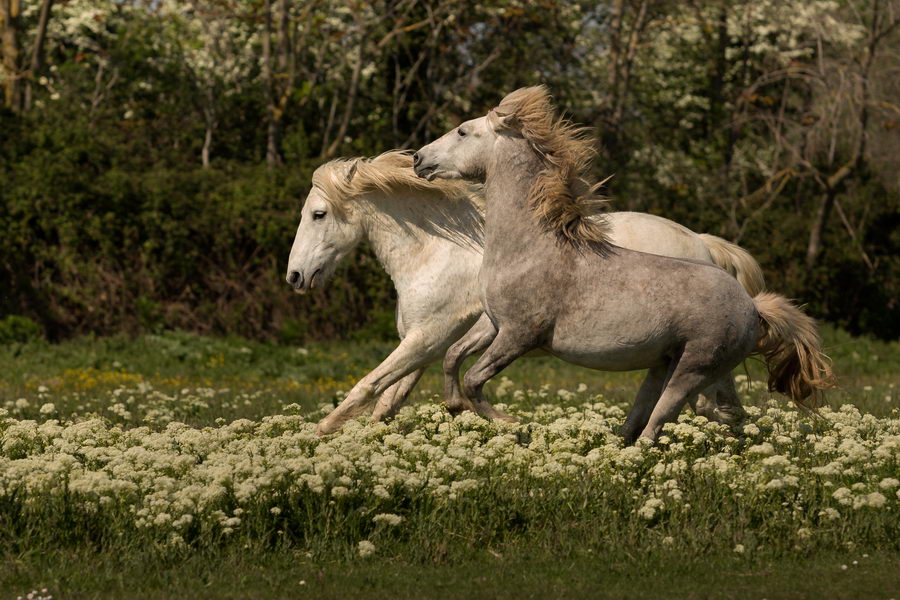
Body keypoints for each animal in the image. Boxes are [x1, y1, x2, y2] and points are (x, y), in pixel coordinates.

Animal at [288, 150, 768, 432]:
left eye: (318, 214)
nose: (295, 277)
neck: (436, 251)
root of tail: (702, 243)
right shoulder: (425, 346)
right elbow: (388, 402)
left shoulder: (426, 337)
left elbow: (367, 386)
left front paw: (320, 434)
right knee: (718, 401)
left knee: (711, 401)